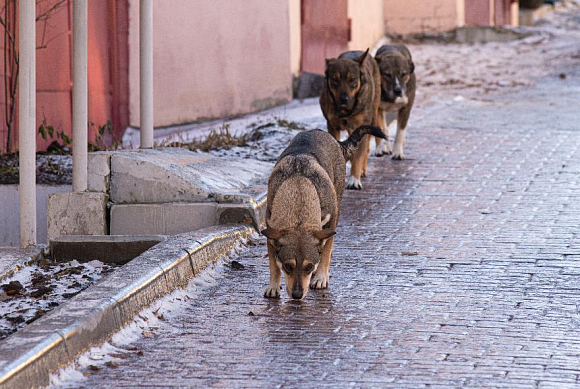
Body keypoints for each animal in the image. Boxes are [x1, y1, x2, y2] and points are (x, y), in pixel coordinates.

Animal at [262, 126, 386, 298]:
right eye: (288, 266)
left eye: (308, 267)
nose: (297, 295)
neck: (298, 188)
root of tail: (325, 134)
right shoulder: (271, 230)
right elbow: (273, 263)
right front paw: (273, 286)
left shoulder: (331, 222)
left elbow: (326, 253)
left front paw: (320, 277)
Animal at [318, 47, 386, 190]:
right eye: (335, 80)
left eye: (352, 80)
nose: (344, 99)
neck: (346, 110)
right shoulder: (332, 126)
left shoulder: (361, 125)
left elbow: (359, 155)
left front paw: (354, 179)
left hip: (373, 113)